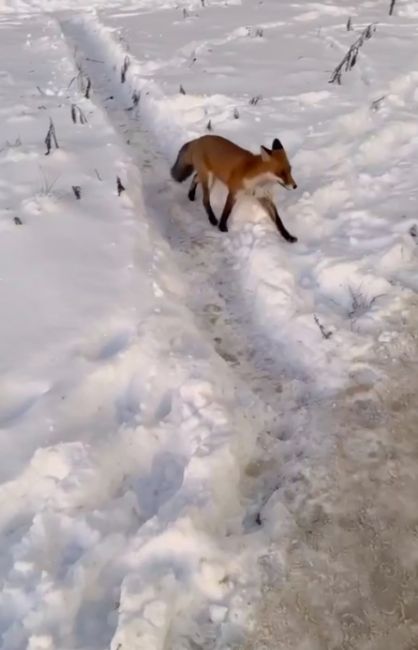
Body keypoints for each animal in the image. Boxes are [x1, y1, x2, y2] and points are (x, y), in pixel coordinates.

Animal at [170, 133, 298, 242]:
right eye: (281, 173)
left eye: (290, 170)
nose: (295, 186)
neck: (257, 182)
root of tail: (198, 139)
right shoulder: (234, 192)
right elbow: (227, 211)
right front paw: (222, 227)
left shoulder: (264, 197)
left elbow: (279, 221)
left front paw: (288, 237)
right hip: (209, 179)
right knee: (205, 200)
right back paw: (212, 219)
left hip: (211, 177)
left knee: (195, 177)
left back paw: (191, 195)